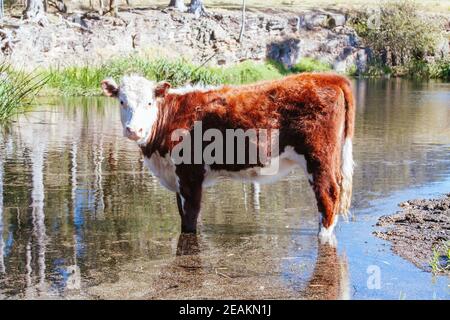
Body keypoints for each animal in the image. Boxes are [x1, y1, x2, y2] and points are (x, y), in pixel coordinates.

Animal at [101, 73, 356, 245]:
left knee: (328, 193)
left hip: (319, 156)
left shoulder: (190, 174)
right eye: (122, 101)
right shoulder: (176, 178)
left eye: (149, 102)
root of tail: (329, 77)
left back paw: (323, 235)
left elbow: (190, 219)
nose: (134, 130)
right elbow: (182, 213)